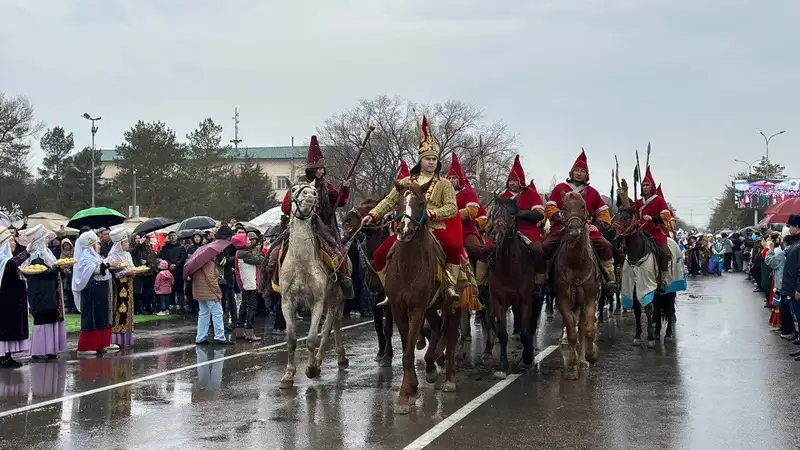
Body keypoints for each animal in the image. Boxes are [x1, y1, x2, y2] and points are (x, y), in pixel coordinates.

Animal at [276, 181, 348, 388]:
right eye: (294, 189)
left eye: (314, 191)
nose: (310, 196)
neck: (302, 264)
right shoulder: (287, 301)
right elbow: (291, 339)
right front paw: (288, 375)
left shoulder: (317, 302)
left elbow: (311, 339)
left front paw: (310, 369)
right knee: (335, 324)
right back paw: (338, 359)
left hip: (334, 299)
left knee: (328, 327)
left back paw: (322, 360)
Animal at [338, 200, 394, 366]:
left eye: (370, 207)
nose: (347, 220)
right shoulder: (373, 297)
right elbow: (378, 326)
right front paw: (381, 353)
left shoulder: (388, 299)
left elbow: (388, 327)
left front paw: (387, 356)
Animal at [384, 179, 460, 414]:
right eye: (398, 203)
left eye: (421, 203)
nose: (405, 230)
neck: (408, 266)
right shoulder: (398, 308)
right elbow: (406, 348)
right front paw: (408, 390)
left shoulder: (417, 308)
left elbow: (409, 350)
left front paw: (406, 392)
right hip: (431, 307)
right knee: (436, 326)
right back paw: (430, 364)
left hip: (454, 306)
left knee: (452, 336)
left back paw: (449, 379)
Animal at [482, 195, 544, 378]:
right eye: (494, 212)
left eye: (512, 213)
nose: (497, 233)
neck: (509, 269)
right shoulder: (498, 302)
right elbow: (502, 333)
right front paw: (502, 366)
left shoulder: (526, 301)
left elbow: (525, 331)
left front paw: (527, 358)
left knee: (530, 327)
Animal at [552, 191, 604, 380]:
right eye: (564, 207)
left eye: (582, 206)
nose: (574, 230)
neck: (575, 264)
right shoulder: (563, 300)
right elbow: (572, 332)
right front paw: (572, 363)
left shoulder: (590, 299)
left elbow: (588, 329)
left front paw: (591, 355)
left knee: (583, 327)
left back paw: (583, 361)